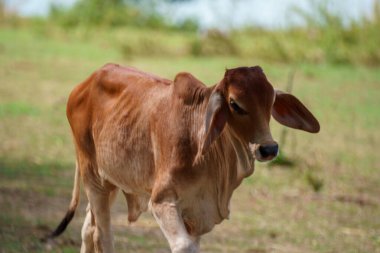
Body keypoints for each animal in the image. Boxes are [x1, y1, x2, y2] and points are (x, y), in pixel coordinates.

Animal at [48, 63, 320, 253]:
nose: (269, 148)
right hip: (92, 175)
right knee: (102, 234)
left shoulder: (197, 212)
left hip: (111, 181)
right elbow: (183, 246)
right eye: (235, 104)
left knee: (88, 227)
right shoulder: (161, 200)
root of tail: (85, 83)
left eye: (271, 102)